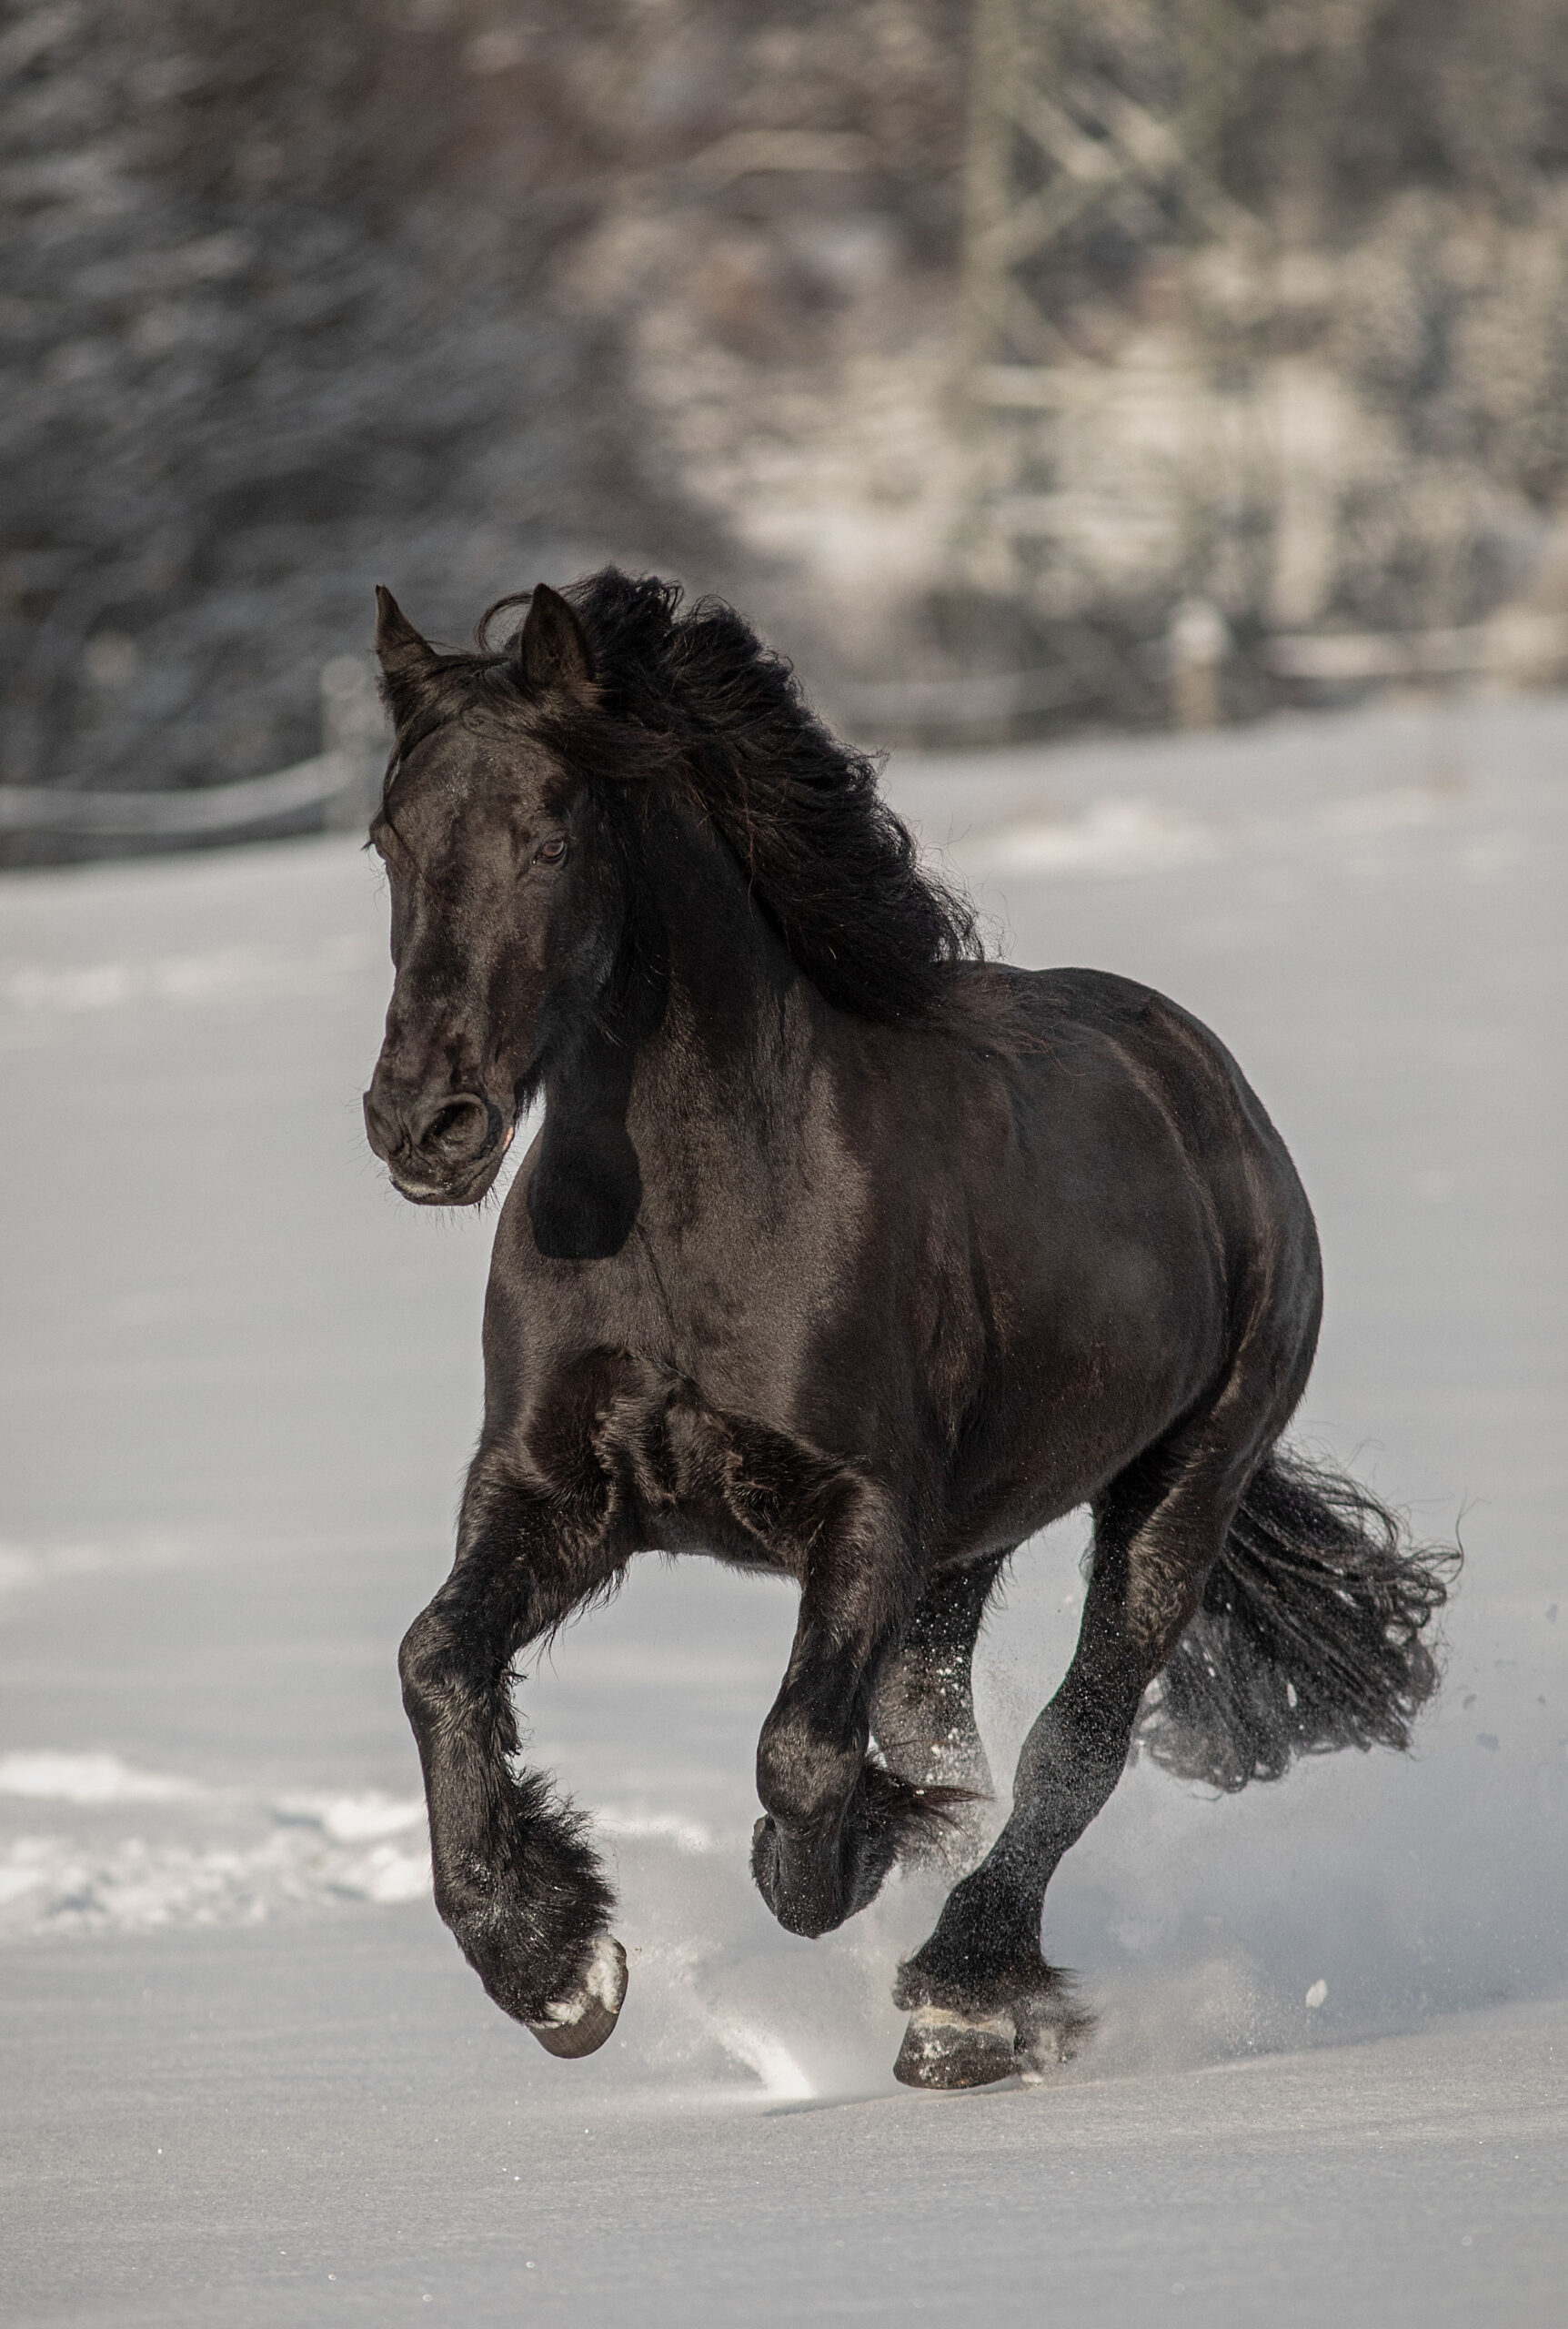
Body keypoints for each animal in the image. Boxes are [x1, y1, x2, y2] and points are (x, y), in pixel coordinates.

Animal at [361, 568, 1453, 2096]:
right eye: (388, 839)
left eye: (552, 831)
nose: (425, 1124)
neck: (689, 1216)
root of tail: (1213, 1093)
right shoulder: (551, 1492)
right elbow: (436, 1661)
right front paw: (555, 1961)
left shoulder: (867, 1507)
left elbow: (805, 1756)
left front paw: (844, 1862)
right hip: (968, 1548)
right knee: (953, 1718)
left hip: (1184, 1479)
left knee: (1077, 1739)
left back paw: (965, 1998)